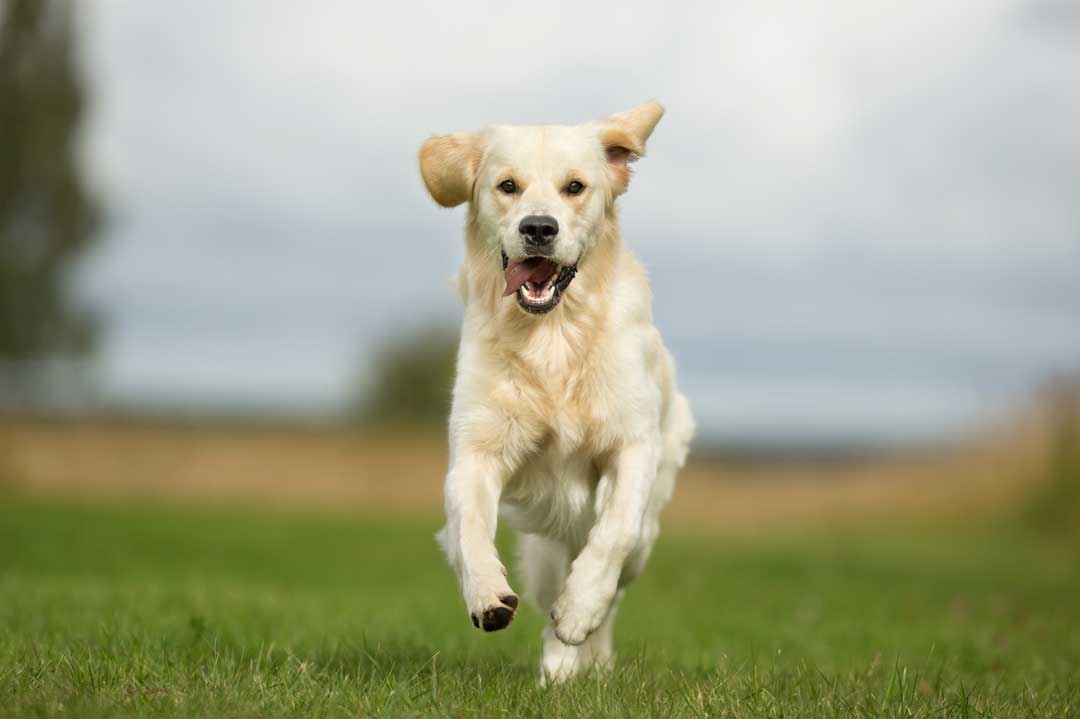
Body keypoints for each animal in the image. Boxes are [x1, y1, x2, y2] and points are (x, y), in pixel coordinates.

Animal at [416, 102, 695, 682]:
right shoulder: (477, 448)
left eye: (575, 187)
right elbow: (469, 524)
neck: (553, 336)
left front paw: (580, 610)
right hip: (545, 545)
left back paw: (586, 651)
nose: (539, 228)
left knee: (613, 572)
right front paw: (486, 594)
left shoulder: (632, 445)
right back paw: (559, 670)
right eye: (507, 186)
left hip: (646, 530)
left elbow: (613, 532)